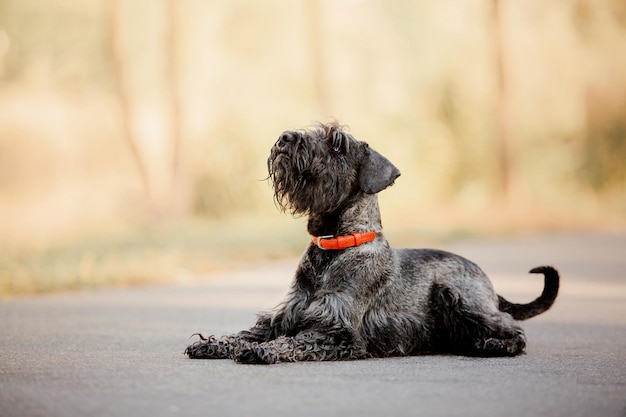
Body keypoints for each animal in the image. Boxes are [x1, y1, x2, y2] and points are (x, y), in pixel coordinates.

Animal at [183, 121, 560, 364]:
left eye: (337, 143)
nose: (285, 138)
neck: (334, 245)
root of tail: (491, 287)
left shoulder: (337, 329)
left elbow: (296, 340)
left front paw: (264, 351)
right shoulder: (281, 317)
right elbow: (250, 331)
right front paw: (215, 343)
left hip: (460, 297)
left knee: (513, 330)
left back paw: (493, 345)